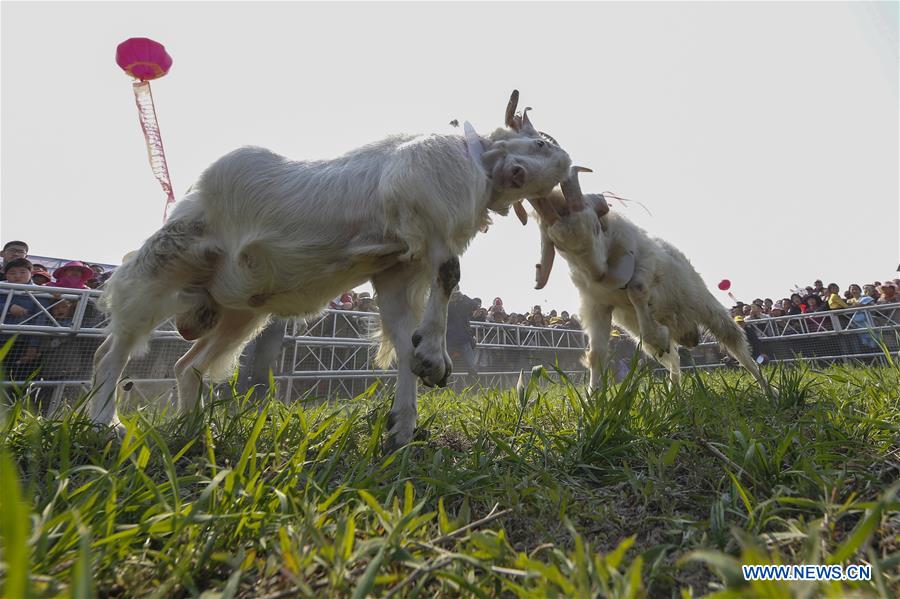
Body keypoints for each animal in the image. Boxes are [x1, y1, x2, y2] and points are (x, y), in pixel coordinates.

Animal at [90, 91, 573, 447]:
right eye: (540, 144)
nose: (517, 173)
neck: (473, 163)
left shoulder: (397, 269)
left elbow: (404, 339)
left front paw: (403, 425)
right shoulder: (426, 215)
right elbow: (450, 273)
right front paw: (435, 360)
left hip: (239, 312)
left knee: (186, 365)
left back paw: (192, 430)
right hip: (163, 265)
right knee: (111, 349)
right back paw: (104, 423)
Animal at [522, 167, 774, 394]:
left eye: (595, 227)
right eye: (559, 245)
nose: (599, 275)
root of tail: (689, 333)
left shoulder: (647, 267)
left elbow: (636, 290)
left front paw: (656, 334)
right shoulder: (596, 305)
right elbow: (596, 355)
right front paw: (593, 401)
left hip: (705, 305)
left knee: (735, 344)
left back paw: (769, 391)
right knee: (673, 359)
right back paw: (674, 392)